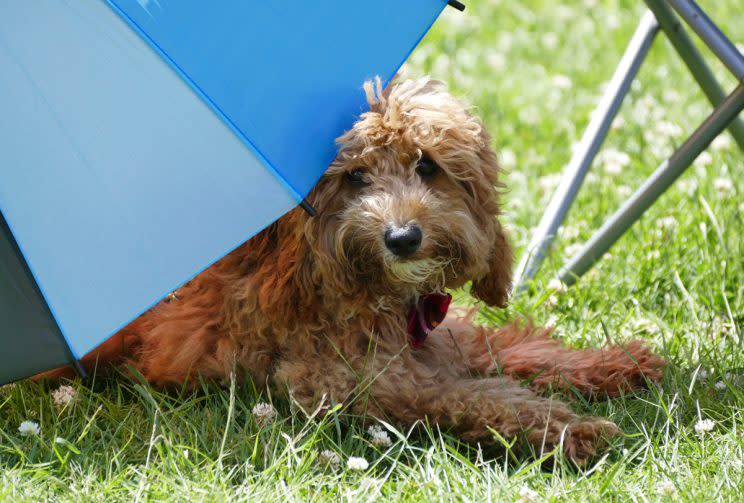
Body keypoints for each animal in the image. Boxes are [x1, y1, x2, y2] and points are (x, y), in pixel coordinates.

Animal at [45, 78, 664, 464]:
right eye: (356, 177)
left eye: (427, 166)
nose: (402, 238)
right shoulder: (344, 381)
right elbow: (472, 395)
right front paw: (572, 429)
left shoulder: (441, 338)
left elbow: (515, 347)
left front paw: (619, 362)